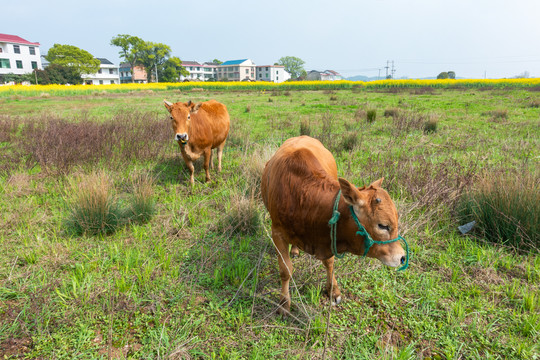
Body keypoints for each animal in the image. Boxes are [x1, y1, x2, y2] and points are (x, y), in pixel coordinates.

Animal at [260, 136, 408, 314]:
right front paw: (284, 304)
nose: (402, 257)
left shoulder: (330, 235)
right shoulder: (277, 233)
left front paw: (333, 291)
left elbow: (329, 263)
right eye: (382, 225)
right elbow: (285, 270)